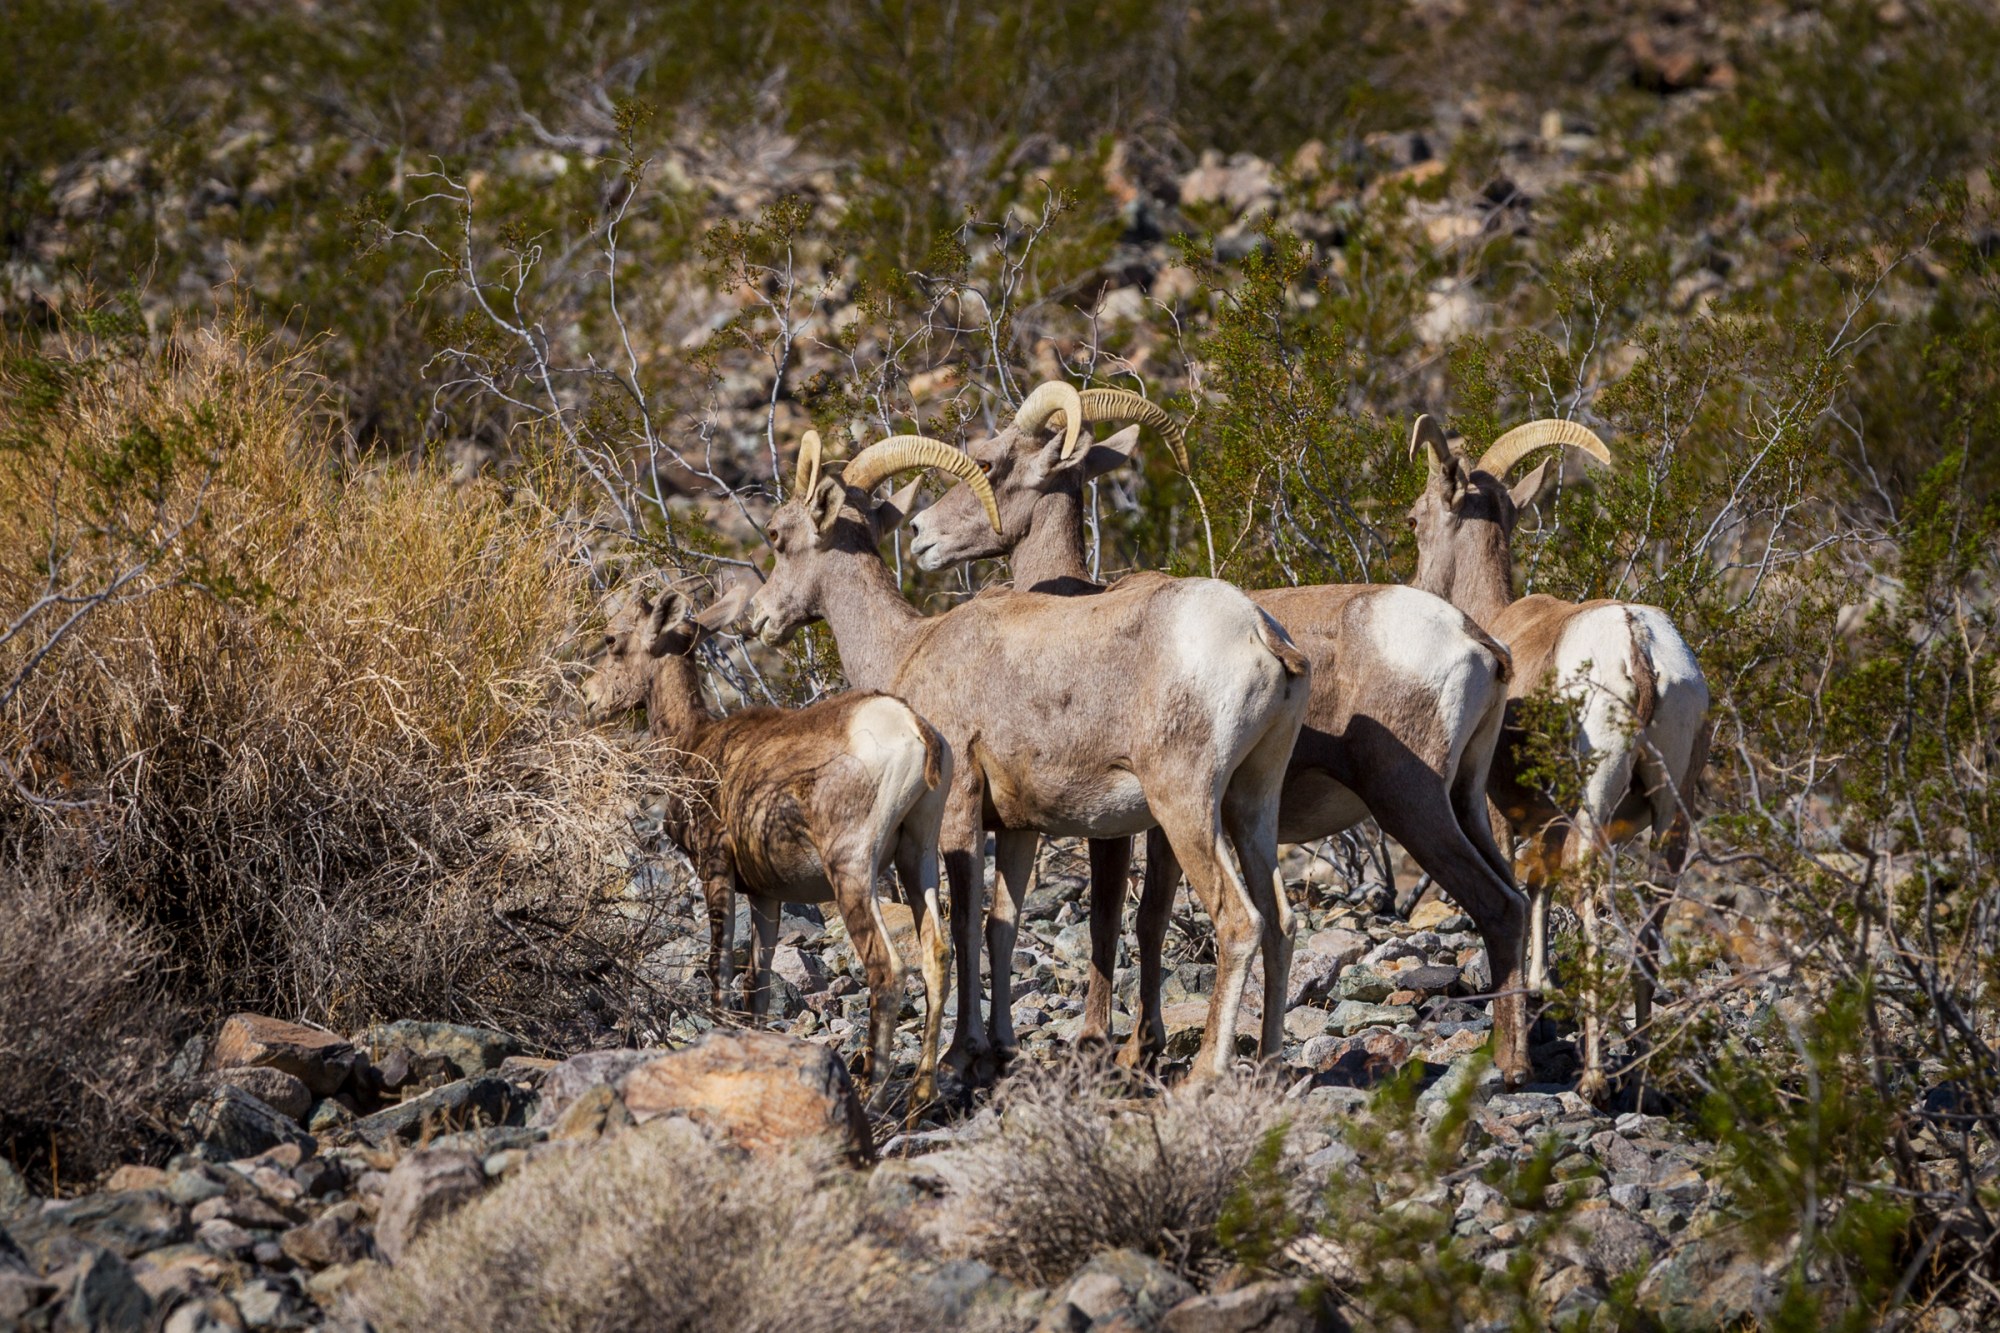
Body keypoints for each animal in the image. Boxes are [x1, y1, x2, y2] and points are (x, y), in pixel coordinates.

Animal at [581, 581, 951, 1110]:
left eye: (612, 639)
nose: (589, 698)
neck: (694, 744)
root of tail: (913, 729)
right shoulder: (766, 896)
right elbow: (757, 981)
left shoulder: (716, 871)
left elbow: (719, 966)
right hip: (917, 859)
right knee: (937, 955)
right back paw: (920, 1099)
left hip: (852, 873)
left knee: (887, 966)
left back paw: (873, 1098)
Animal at [1408, 413, 1712, 1103]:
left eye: (1414, 519)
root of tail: (1637, 646)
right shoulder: (1546, 819)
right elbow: (1537, 886)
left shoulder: (1496, 812)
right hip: (1672, 813)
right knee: (1651, 911)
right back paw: (1643, 1070)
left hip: (1597, 796)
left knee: (1590, 887)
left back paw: (1596, 1079)